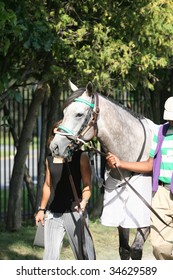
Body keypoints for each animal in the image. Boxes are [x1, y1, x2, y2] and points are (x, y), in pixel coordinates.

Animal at [49, 81, 158, 260]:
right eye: (64, 112)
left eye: (79, 114)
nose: (55, 146)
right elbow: (124, 249)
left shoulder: (146, 217)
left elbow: (136, 250)